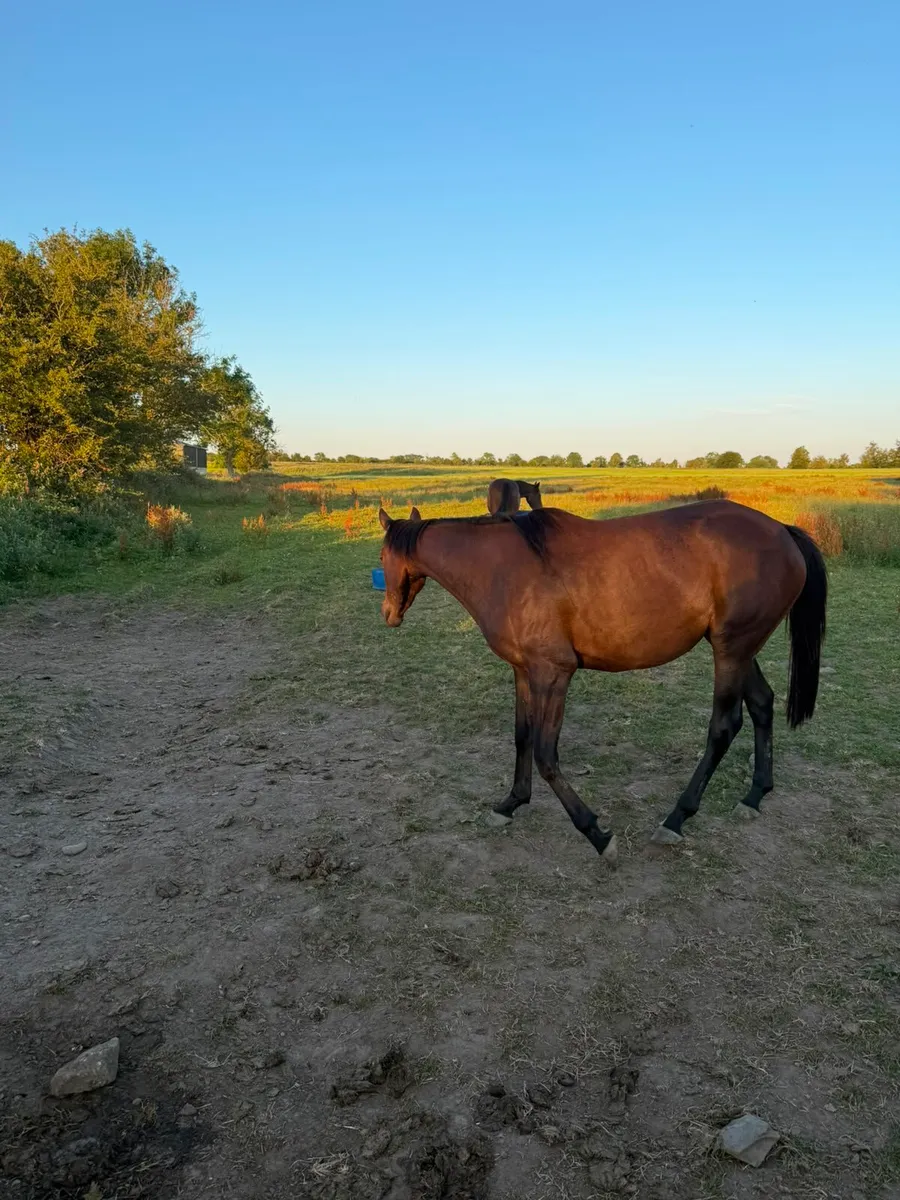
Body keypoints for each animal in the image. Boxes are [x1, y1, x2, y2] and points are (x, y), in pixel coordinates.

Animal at [377, 501, 826, 868]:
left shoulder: (553, 673)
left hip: (731, 650)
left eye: (382, 555)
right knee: (762, 703)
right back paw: (754, 796)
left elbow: (545, 755)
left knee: (723, 727)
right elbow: (522, 738)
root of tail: (782, 530)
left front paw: (596, 834)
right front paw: (510, 804)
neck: (502, 568)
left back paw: (676, 818)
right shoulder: (524, 671)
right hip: (736, 648)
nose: (388, 614)